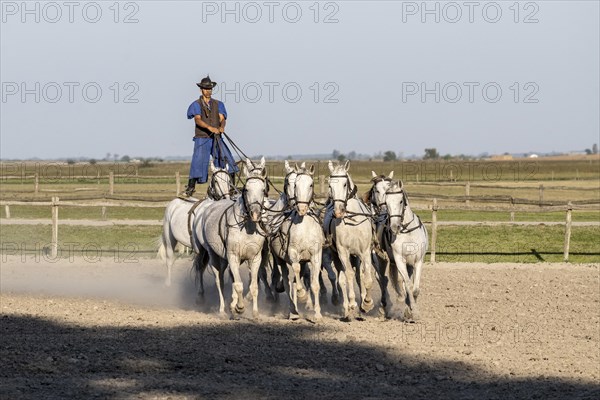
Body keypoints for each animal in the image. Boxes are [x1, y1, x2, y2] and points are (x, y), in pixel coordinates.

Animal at [193, 158, 268, 318]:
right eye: (246, 189)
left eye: (263, 189)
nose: (255, 214)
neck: (247, 228)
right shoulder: (233, 256)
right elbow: (238, 285)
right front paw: (239, 307)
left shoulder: (255, 258)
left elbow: (253, 286)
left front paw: (255, 313)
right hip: (212, 255)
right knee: (218, 280)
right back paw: (221, 309)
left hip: (224, 259)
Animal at [270, 163, 326, 322]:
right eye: (295, 185)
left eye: (311, 184)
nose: (301, 208)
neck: (304, 227)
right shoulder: (293, 253)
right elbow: (294, 273)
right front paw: (302, 296)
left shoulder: (315, 256)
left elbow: (314, 285)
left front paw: (317, 314)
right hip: (280, 260)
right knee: (288, 282)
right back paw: (293, 312)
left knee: (295, 281)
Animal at [324, 161, 376, 320]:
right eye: (330, 185)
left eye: (345, 184)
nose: (338, 211)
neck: (353, 221)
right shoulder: (343, 252)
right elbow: (348, 275)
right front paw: (352, 303)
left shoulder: (364, 252)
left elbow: (366, 278)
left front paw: (367, 303)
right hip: (337, 256)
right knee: (341, 279)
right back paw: (347, 309)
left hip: (356, 257)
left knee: (359, 276)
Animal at [384, 180, 426, 320]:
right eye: (386, 202)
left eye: (400, 201)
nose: (394, 227)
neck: (408, 232)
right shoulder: (399, 261)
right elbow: (408, 285)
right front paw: (413, 311)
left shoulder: (418, 261)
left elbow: (415, 289)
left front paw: (411, 311)